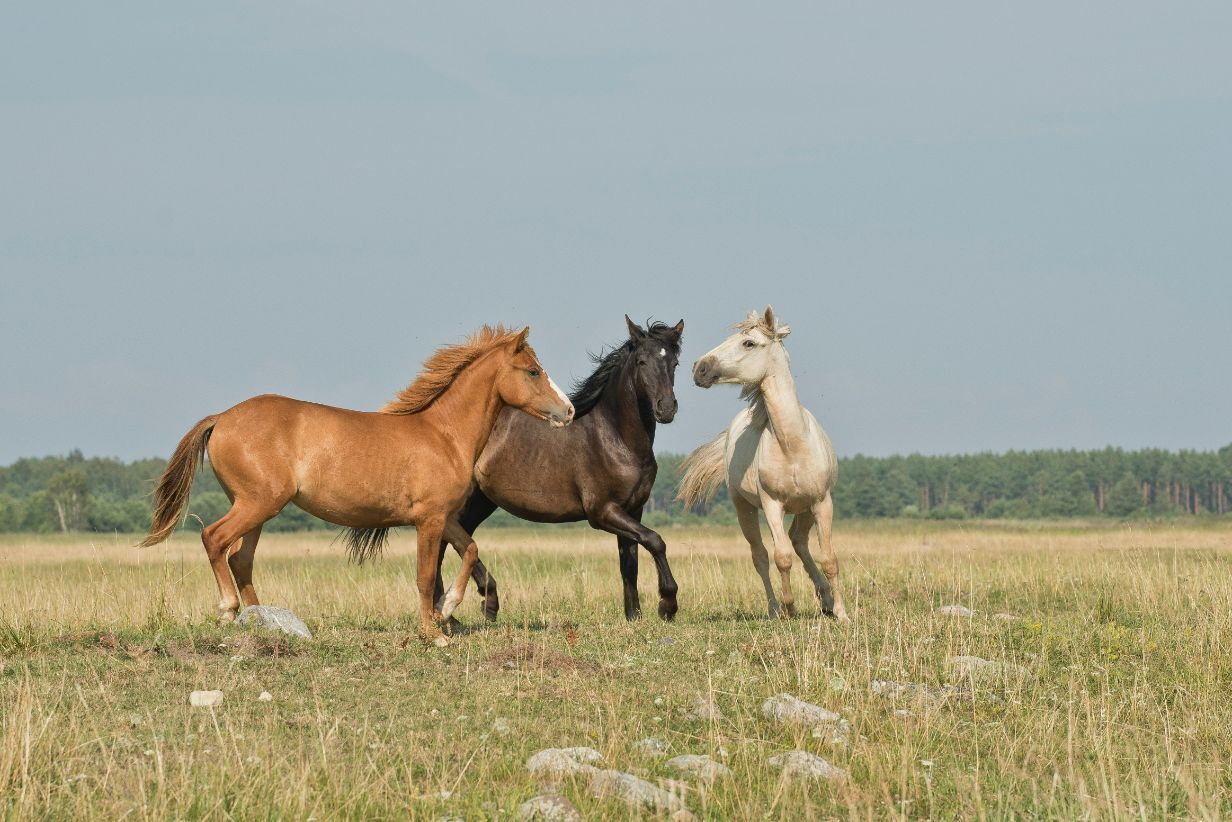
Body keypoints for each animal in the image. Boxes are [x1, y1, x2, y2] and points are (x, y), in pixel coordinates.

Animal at [140, 326, 574, 645]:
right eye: (533, 371)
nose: (568, 411)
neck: (444, 435)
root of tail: (223, 417)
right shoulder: (429, 520)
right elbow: (424, 575)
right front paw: (433, 633)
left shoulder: (445, 517)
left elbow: (470, 550)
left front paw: (447, 609)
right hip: (257, 504)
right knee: (214, 539)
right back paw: (229, 611)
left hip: (257, 509)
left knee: (239, 559)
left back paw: (262, 620)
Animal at [434, 316, 684, 622]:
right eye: (642, 362)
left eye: (674, 362)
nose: (666, 408)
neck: (615, 438)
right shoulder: (602, 512)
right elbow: (655, 540)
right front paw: (667, 605)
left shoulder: (632, 509)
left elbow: (630, 563)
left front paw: (633, 616)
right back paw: (465, 607)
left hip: (480, 501)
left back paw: (465, 609)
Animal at [678, 307, 847, 621]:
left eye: (749, 343)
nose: (699, 368)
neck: (793, 445)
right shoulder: (772, 505)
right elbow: (781, 557)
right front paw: (790, 608)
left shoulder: (822, 502)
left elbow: (829, 558)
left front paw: (842, 613)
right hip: (743, 507)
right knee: (761, 556)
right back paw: (774, 609)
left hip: (805, 509)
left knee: (799, 541)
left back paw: (826, 600)